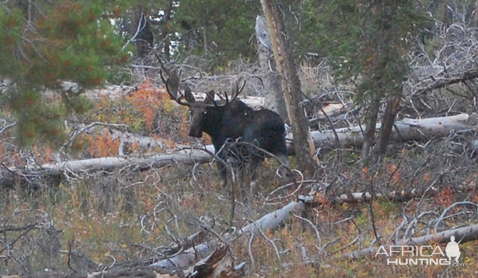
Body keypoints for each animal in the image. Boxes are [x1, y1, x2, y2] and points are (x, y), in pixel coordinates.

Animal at [161, 65, 288, 197]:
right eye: (190, 111)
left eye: (205, 112)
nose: (193, 131)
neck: (214, 126)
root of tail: (277, 125)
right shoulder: (239, 157)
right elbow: (239, 180)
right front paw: (240, 196)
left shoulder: (220, 149)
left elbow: (224, 180)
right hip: (280, 148)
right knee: (286, 172)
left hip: (255, 151)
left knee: (254, 181)